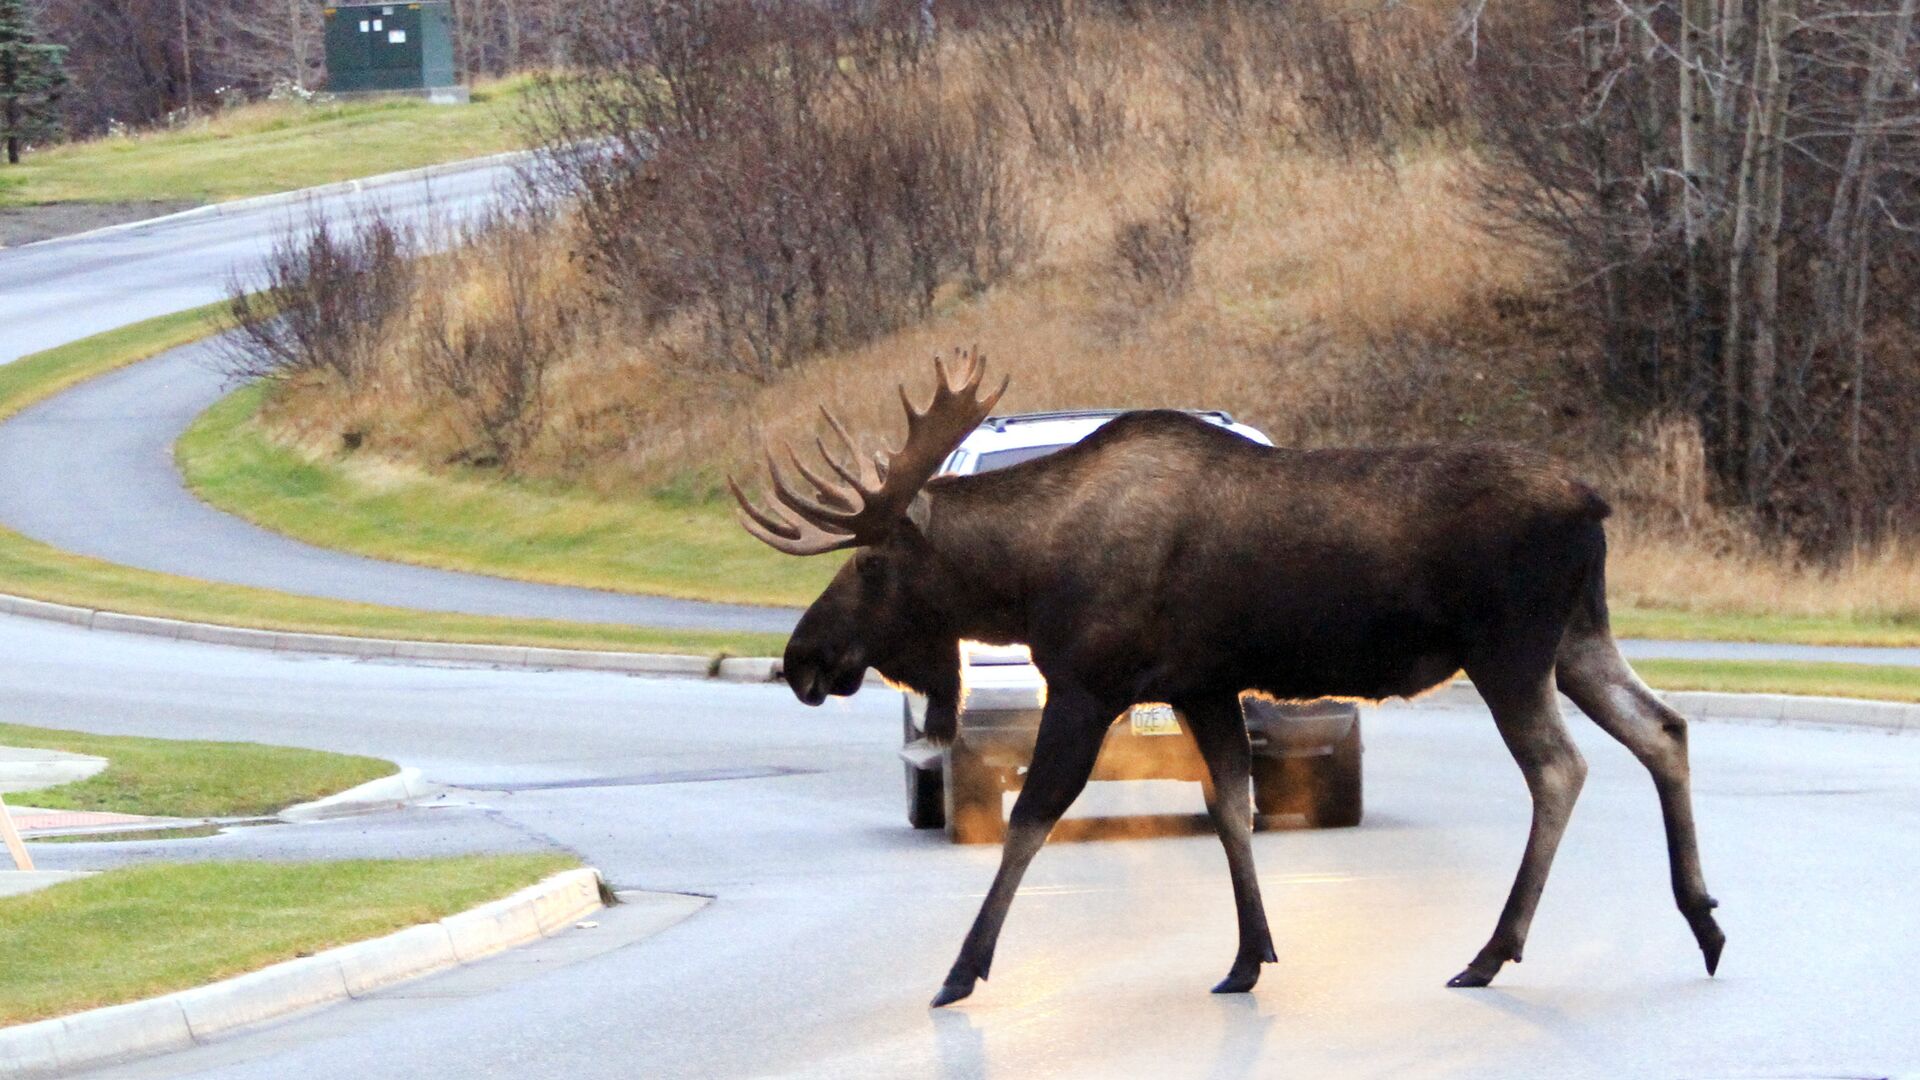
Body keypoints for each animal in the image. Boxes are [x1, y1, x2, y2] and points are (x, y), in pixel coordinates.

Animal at [729, 349, 1728, 1006]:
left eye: (868, 567)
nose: (801, 658)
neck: (1027, 577)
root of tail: (1593, 505)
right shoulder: (1201, 684)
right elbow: (1232, 808)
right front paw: (1250, 958)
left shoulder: (1090, 684)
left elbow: (1030, 821)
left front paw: (960, 971)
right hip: (1577, 636)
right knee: (1663, 726)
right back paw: (1705, 921)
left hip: (1509, 649)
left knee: (1561, 767)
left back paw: (1493, 950)